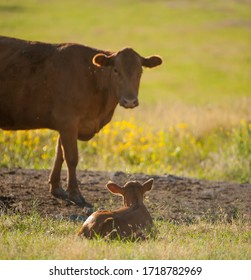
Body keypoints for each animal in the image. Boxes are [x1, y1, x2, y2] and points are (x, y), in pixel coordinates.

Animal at [0, 35, 162, 206]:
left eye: (140, 72)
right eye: (116, 70)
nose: (130, 101)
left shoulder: (66, 125)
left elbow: (59, 155)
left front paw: (56, 188)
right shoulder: (68, 121)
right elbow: (71, 158)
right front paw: (75, 194)